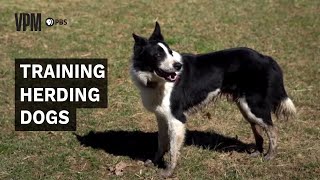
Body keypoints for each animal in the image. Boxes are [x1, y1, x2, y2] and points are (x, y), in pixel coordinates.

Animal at [130, 22, 296, 177]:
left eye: (170, 52)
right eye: (157, 55)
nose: (178, 66)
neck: (156, 82)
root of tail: (266, 58)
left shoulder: (176, 119)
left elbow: (172, 150)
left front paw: (168, 172)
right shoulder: (162, 117)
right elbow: (161, 143)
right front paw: (154, 162)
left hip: (254, 106)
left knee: (273, 129)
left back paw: (270, 156)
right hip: (245, 107)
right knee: (259, 129)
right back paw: (258, 152)